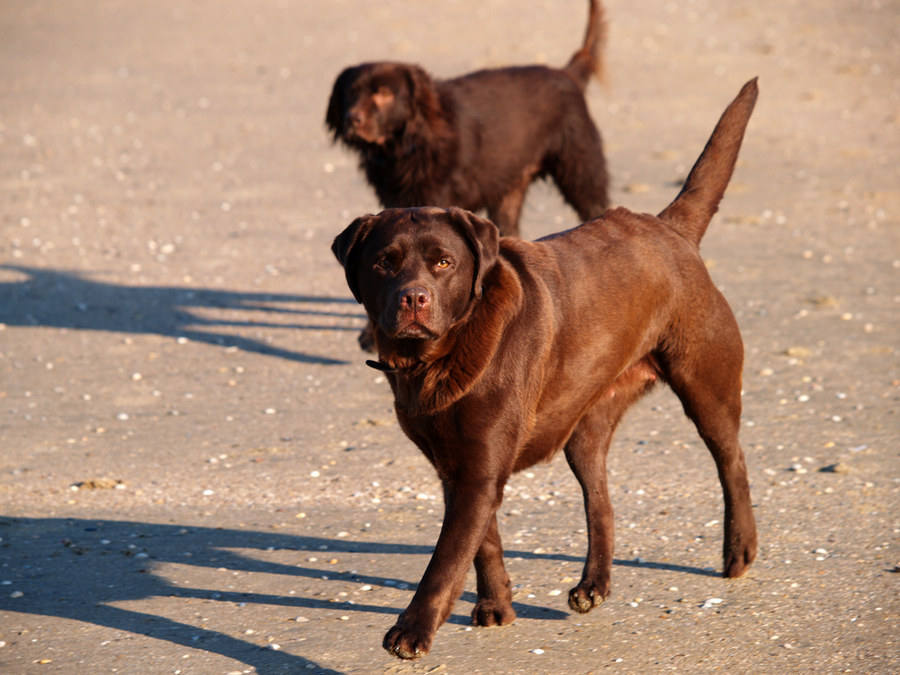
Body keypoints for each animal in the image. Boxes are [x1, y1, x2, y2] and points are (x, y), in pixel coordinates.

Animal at [326, 0, 608, 238]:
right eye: (351, 93)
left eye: (384, 93)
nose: (352, 119)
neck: (409, 143)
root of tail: (568, 74)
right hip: (509, 192)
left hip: (581, 171)